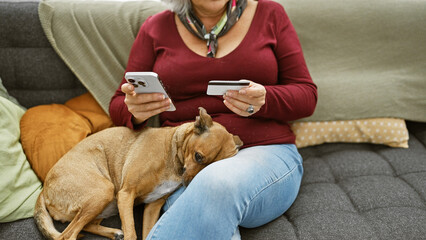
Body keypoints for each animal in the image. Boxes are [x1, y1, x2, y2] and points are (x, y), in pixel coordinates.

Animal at [34, 108, 243, 240]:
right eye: (198, 157)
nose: (191, 184)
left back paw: (113, 232)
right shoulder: (126, 194)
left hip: (106, 204)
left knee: (84, 226)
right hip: (104, 191)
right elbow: (132, 233)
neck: (172, 154)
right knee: (67, 235)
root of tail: (44, 189)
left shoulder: (152, 206)